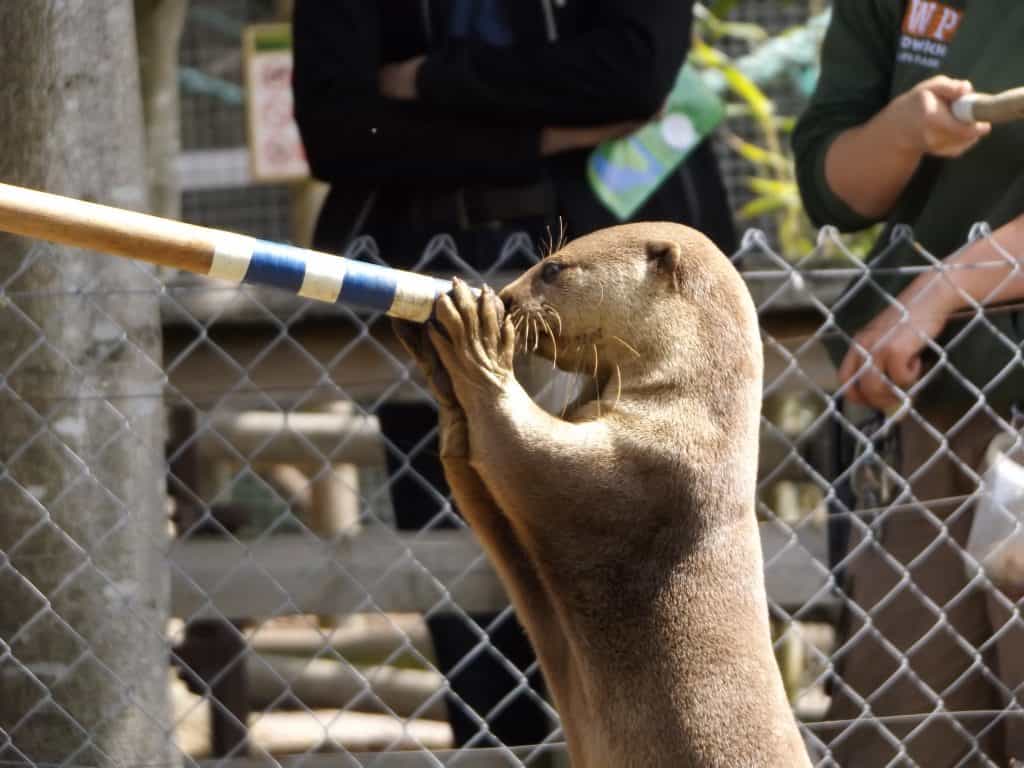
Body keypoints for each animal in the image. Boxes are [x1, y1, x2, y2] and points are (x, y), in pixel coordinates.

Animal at [393, 222, 810, 767]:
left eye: (553, 268)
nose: (505, 298)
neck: (689, 406)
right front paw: (436, 362)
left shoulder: (646, 472)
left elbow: (529, 453)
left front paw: (478, 339)